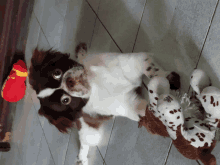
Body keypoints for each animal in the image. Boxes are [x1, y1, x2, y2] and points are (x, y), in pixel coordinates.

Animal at [28, 42, 180, 165]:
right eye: (65, 100)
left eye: (57, 72)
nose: (69, 82)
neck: (95, 83)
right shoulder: (131, 107)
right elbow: (151, 115)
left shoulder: (134, 62)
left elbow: (153, 72)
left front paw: (169, 80)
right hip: (90, 133)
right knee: (84, 144)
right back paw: (81, 159)